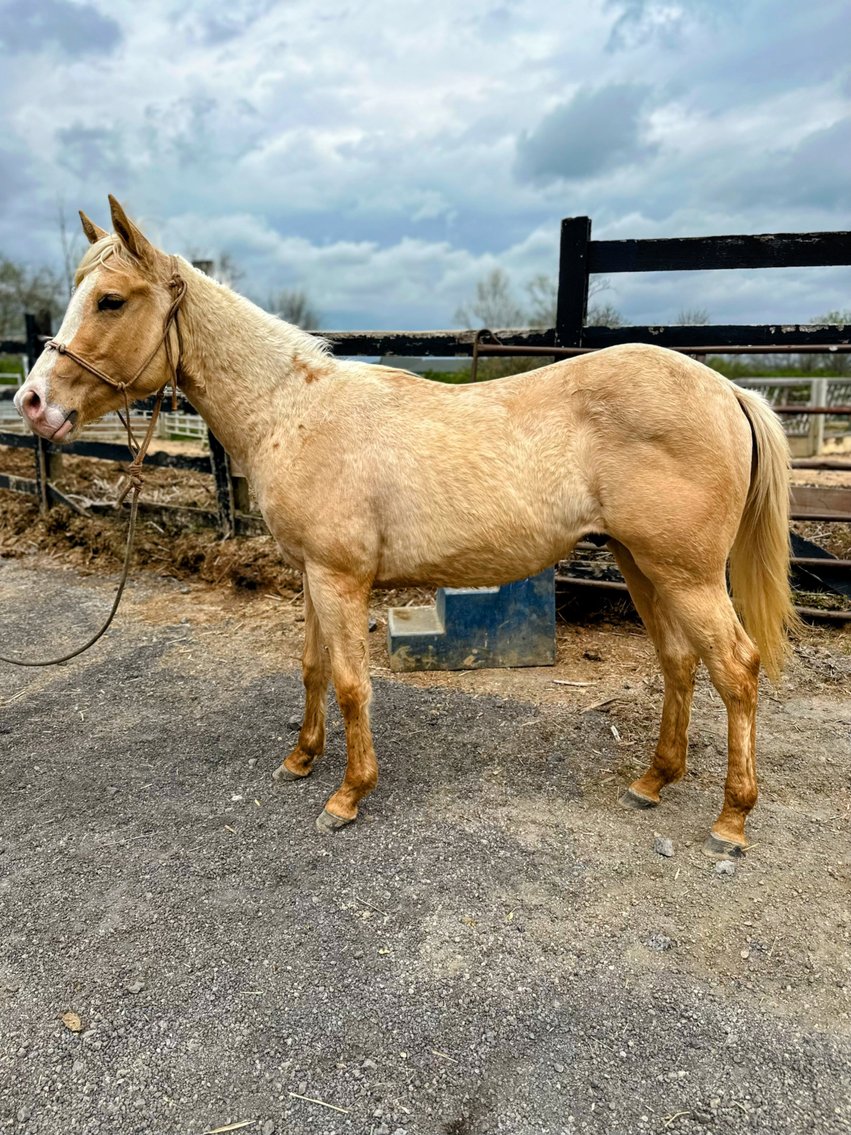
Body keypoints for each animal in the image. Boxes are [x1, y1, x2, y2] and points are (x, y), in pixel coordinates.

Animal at [13, 196, 798, 858]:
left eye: (111, 299)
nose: (32, 402)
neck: (291, 410)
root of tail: (727, 390)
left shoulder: (340, 578)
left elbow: (351, 683)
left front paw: (347, 795)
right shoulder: (312, 575)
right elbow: (312, 667)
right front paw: (301, 759)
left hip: (686, 575)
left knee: (736, 668)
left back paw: (730, 820)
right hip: (643, 565)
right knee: (679, 662)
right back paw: (653, 781)